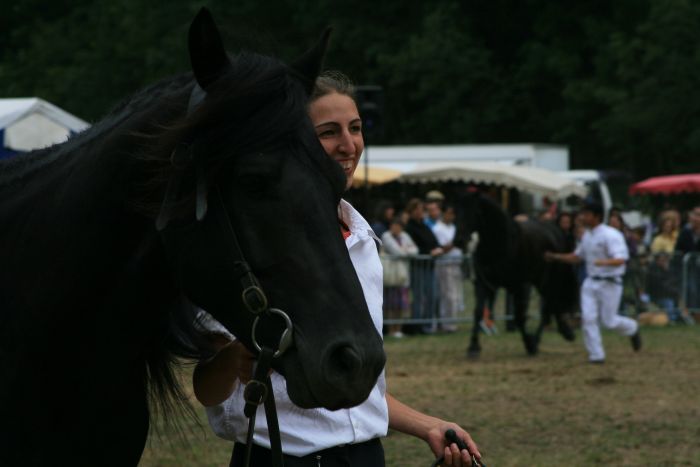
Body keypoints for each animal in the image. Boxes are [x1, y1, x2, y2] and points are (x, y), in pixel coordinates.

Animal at [460, 194, 576, 358]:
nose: (459, 240)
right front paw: (473, 347)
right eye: (455, 210)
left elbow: (519, 317)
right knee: (550, 305)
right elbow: (478, 312)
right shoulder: (484, 283)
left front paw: (529, 344)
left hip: (548, 280)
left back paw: (548, 337)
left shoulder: (520, 286)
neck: (502, 244)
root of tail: (556, 229)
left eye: (474, 212)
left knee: (548, 306)